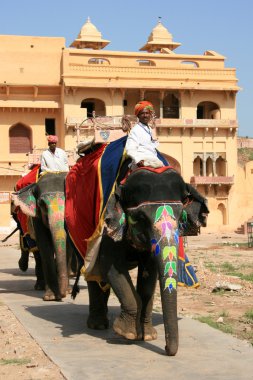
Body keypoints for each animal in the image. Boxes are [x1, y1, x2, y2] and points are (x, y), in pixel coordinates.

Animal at [12, 174, 72, 302]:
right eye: (42, 205)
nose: (62, 295)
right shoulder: (36, 217)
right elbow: (45, 246)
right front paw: (50, 297)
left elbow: (68, 247)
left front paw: (67, 291)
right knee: (37, 252)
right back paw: (39, 286)